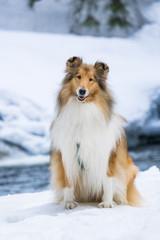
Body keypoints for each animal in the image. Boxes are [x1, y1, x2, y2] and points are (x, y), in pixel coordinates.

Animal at [50, 57, 144, 209]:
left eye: (91, 79)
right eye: (78, 76)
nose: (82, 91)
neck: (83, 111)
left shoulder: (106, 155)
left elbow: (107, 179)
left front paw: (107, 202)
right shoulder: (67, 155)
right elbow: (68, 181)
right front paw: (69, 202)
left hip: (131, 169)